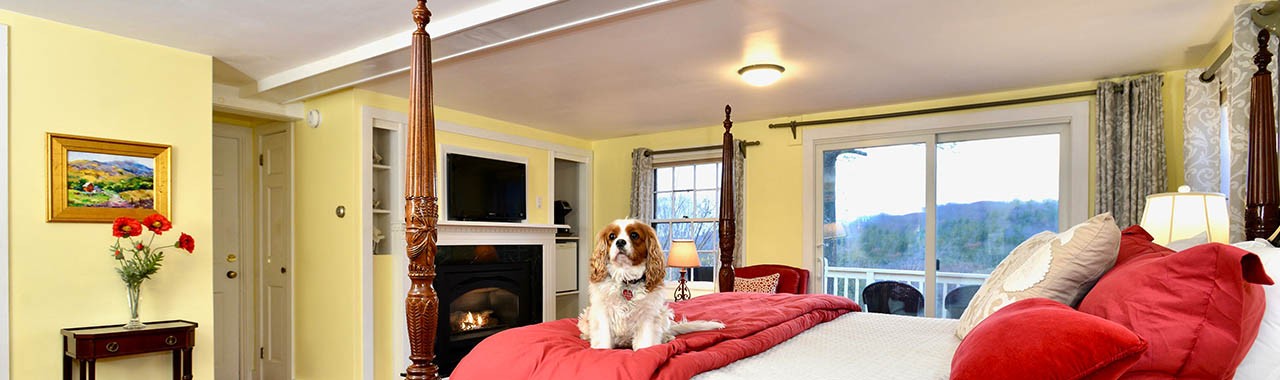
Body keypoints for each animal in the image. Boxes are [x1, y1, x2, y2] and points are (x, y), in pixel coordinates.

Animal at [578, 217, 727, 348]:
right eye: (612, 236)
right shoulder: (602, 314)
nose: (620, 242)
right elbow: (603, 341)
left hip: (663, 313)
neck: (626, 279)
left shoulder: (647, 316)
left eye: (634, 235)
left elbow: (645, 344)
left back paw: (666, 337)